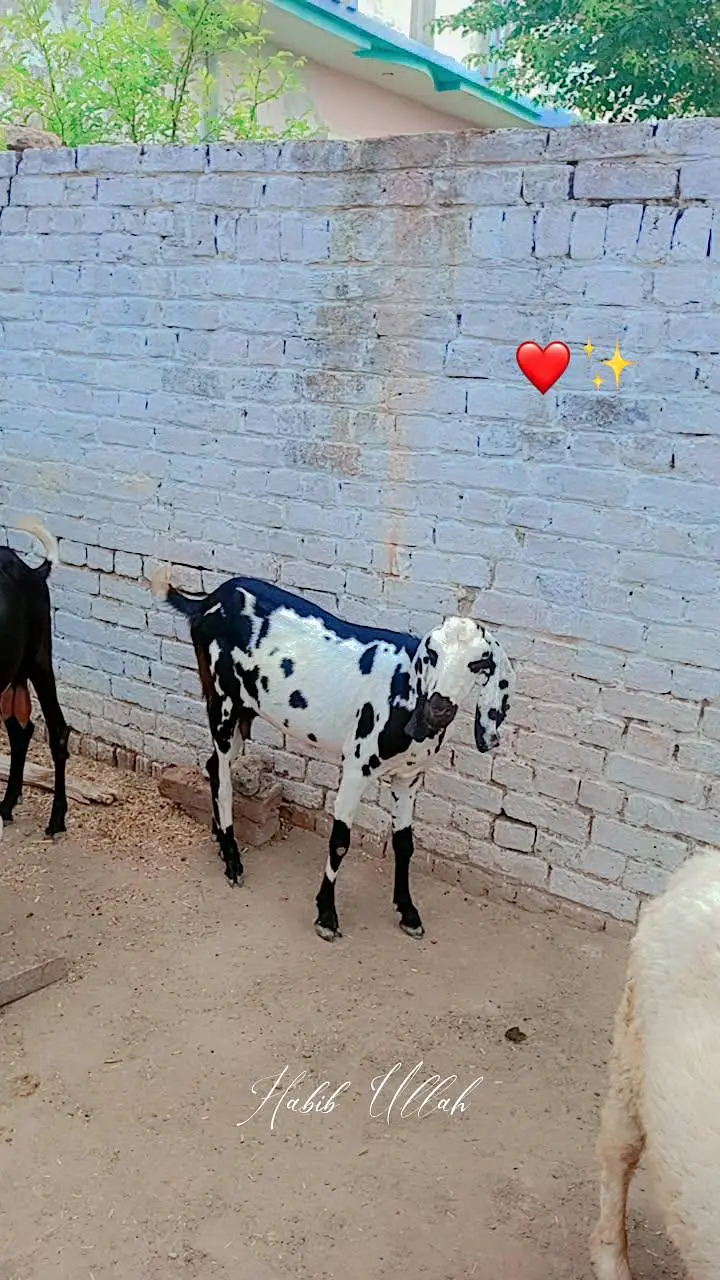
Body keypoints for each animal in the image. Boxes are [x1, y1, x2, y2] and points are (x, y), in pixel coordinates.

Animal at [152, 569, 515, 941]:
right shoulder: (357, 767)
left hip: (244, 712)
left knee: (212, 765)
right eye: (432, 655)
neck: (403, 692)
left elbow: (404, 843)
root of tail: (208, 601)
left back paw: (221, 840)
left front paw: (408, 912)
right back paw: (233, 862)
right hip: (222, 702)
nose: (438, 709)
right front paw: (326, 915)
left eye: (479, 663)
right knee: (223, 777)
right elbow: (340, 840)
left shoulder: (409, 778)